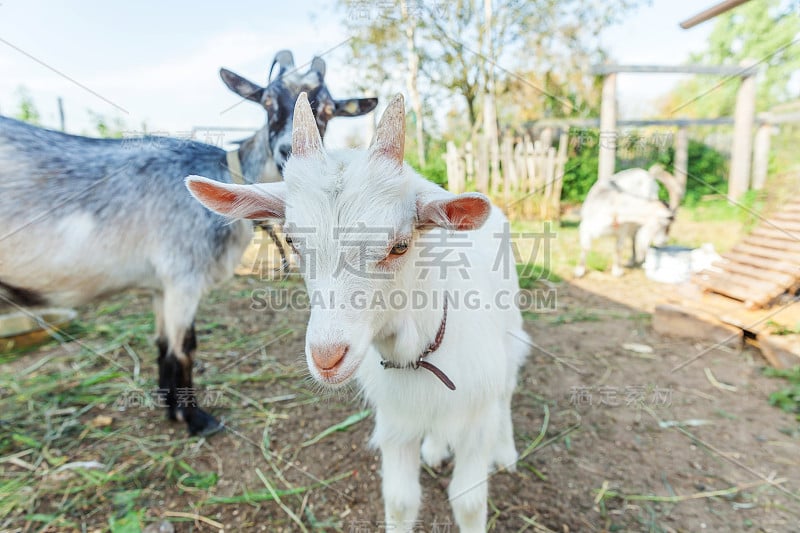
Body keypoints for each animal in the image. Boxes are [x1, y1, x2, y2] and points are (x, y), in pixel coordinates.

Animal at [0, 48, 378, 432]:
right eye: (267, 100)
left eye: (329, 109)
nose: (288, 152)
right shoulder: (182, 277)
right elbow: (185, 347)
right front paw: (196, 418)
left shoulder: (160, 286)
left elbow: (163, 345)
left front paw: (171, 406)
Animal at [188, 93, 532, 528]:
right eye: (292, 240)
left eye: (399, 245)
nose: (326, 357)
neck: (421, 353)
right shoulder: (396, 421)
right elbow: (400, 500)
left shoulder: (475, 417)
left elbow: (468, 503)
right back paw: (435, 448)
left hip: (510, 341)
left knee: (507, 389)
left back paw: (506, 452)